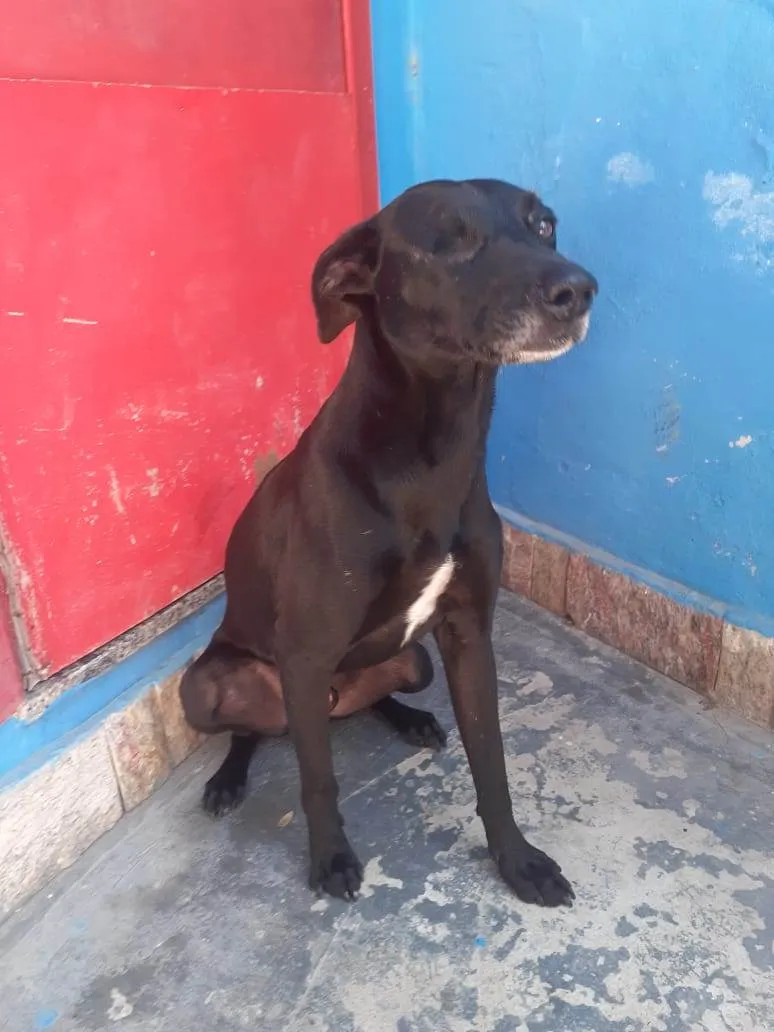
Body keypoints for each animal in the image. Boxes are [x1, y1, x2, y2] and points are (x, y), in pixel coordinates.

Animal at [180, 178, 597, 907]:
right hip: (207, 686)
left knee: (368, 702)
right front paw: (330, 859)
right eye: (449, 239)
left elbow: (491, 762)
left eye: (544, 225)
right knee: (251, 733)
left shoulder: (466, 635)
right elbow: (318, 781)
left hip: (413, 661)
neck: (433, 454)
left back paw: (410, 721)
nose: (579, 288)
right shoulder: (306, 651)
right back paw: (229, 778)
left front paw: (516, 861)